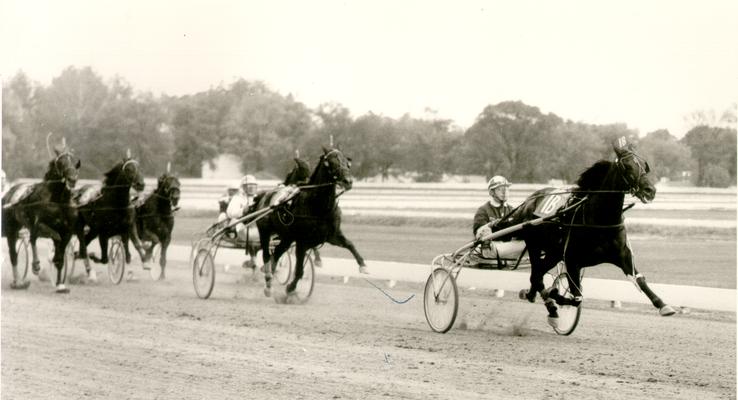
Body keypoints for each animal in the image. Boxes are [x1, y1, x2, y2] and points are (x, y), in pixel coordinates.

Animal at [1, 142, 81, 292]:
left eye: (74, 161)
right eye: (61, 162)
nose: (72, 179)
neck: (58, 201)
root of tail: (8, 193)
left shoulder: (67, 231)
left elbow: (60, 254)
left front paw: (60, 285)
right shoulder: (39, 224)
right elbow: (51, 238)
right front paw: (41, 264)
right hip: (11, 229)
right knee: (15, 253)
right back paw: (20, 280)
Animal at [253, 145, 354, 298]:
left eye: (347, 162)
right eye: (331, 163)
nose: (348, 181)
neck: (317, 204)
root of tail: (265, 196)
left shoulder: (323, 234)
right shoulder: (301, 240)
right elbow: (299, 268)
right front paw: (291, 288)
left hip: (286, 238)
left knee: (277, 252)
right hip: (265, 232)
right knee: (266, 255)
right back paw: (268, 283)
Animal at [494, 136, 672, 326]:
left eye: (644, 165)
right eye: (628, 166)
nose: (650, 190)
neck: (600, 219)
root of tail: (529, 201)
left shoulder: (622, 255)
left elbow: (640, 279)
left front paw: (663, 305)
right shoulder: (572, 261)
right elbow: (576, 297)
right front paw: (556, 294)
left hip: (553, 252)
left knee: (538, 275)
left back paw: (539, 298)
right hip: (536, 245)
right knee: (536, 276)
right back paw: (545, 300)